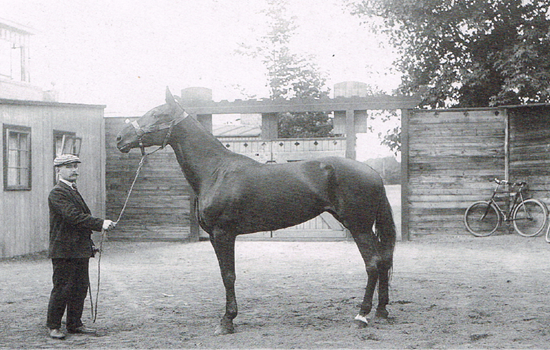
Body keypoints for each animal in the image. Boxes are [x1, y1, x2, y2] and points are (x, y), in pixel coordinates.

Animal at [116, 87, 398, 334]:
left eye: (157, 114)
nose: (120, 138)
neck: (216, 171)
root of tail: (373, 173)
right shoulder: (215, 237)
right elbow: (224, 274)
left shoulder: (224, 233)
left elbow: (228, 275)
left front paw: (227, 321)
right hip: (363, 227)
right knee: (384, 260)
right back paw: (382, 311)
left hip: (359, 227)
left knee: (373, 264)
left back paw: (361, 315)